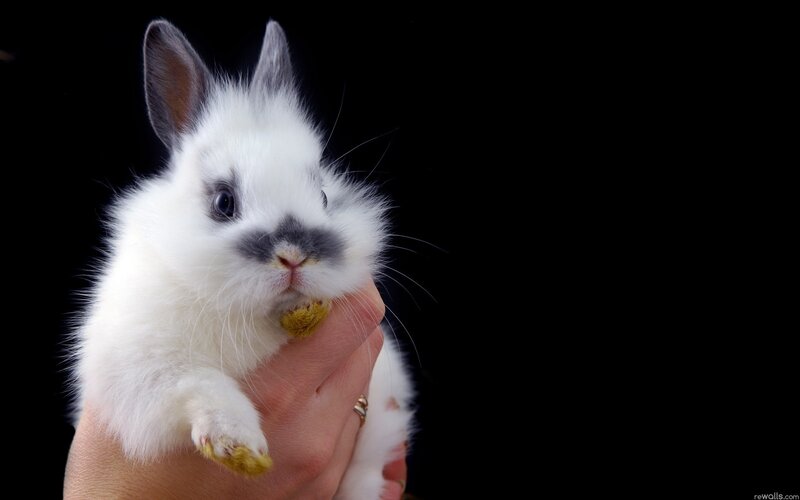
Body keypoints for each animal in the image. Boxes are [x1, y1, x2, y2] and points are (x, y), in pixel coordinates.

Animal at [72, 19, 413, 499]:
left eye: (324, 196)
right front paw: (239, 448)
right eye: (223, 202)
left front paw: (306, 313)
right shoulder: (137, 369)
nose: (294, 256)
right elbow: (199, 383)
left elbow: (363, 475)